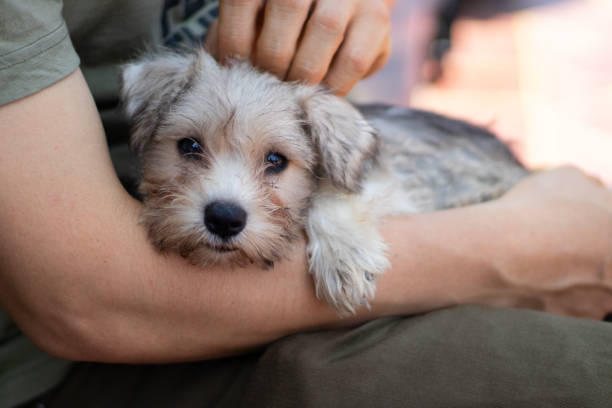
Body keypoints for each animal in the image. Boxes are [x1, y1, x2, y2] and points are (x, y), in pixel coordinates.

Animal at [119, 48, 524, 316]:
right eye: (189, 146)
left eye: (276, 161)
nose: (224, 218)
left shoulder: (393, 182)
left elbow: (333, 193)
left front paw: (344, 258)